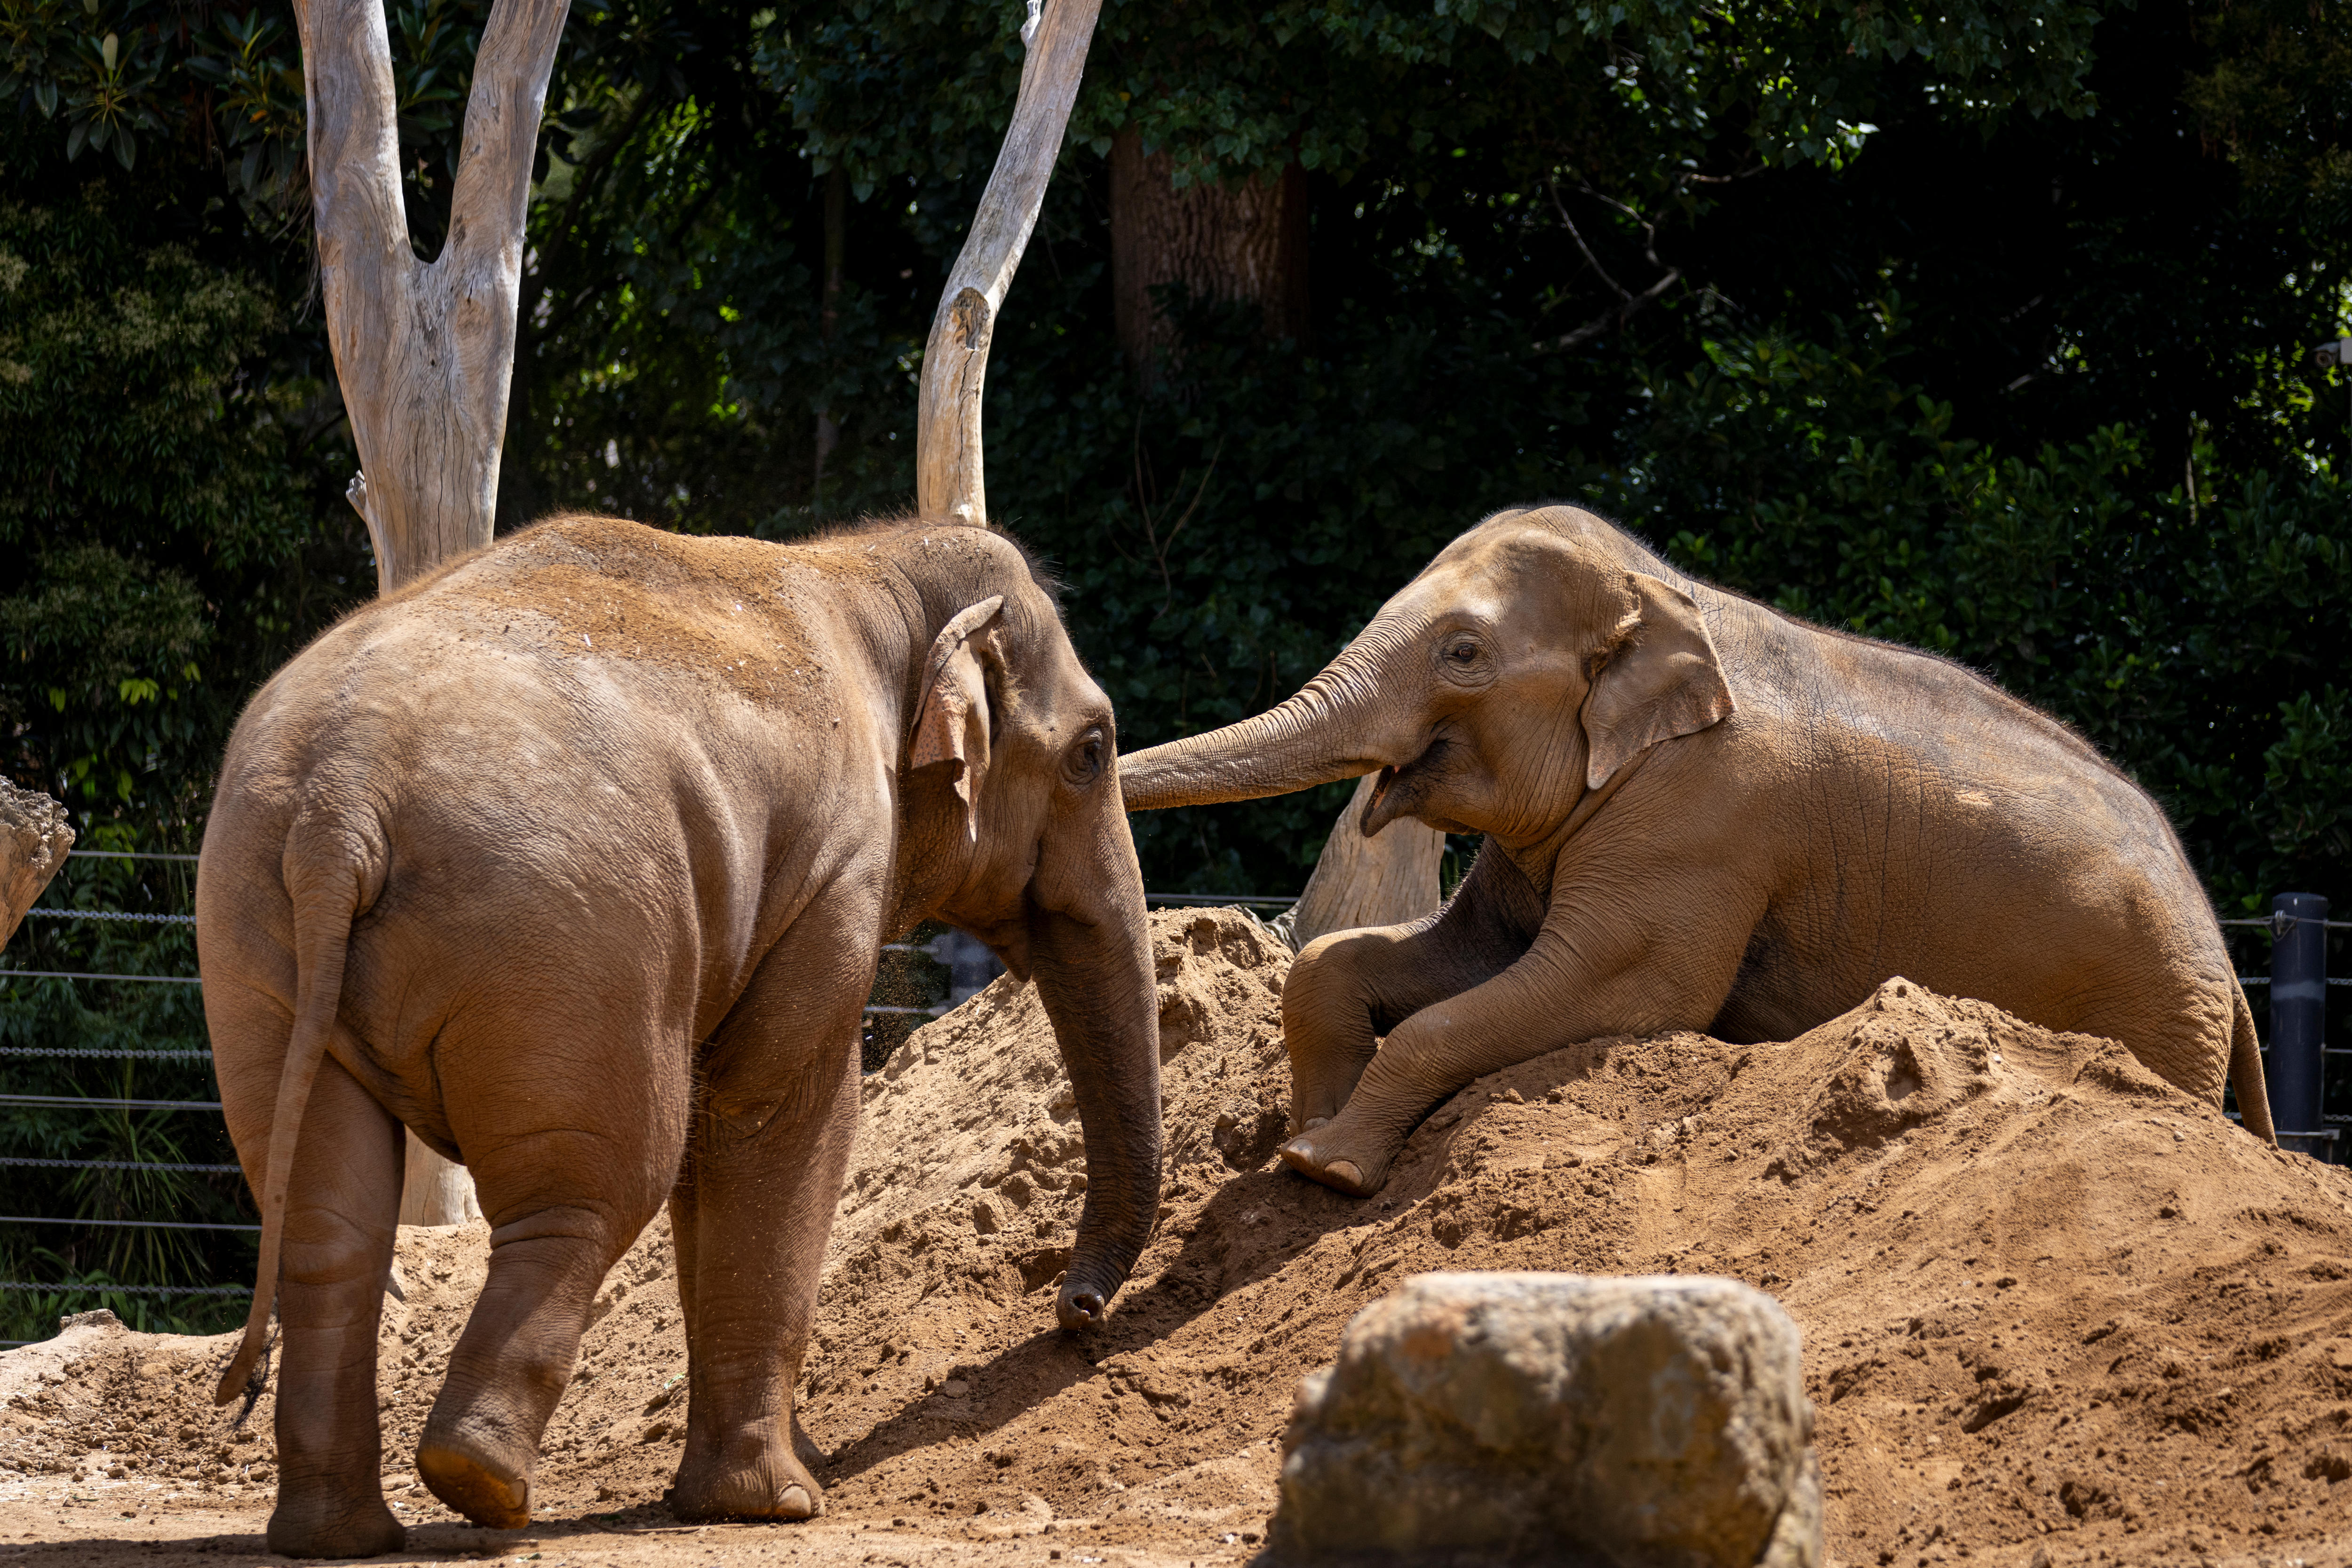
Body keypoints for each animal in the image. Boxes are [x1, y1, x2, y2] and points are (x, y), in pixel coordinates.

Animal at [197, 514, 1161, 1558]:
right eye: (1093, 751)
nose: (1076, 1310)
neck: (871, 567)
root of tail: (341, 802)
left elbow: (715, 1150)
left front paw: (746, 1484)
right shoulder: (836, 868)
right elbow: (773, 1114)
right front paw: (776, 1501)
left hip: (254, 933)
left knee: (331, 1221)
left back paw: (341, 1532)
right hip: (568, 937)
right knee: (596, 1186)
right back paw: (483, 1483)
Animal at [1120, 503, 2274, 1196]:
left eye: (1464, 654)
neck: (1660, 591)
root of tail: (2228, 964)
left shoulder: (1705, 820)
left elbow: (1620, 985)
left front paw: (1328, 1167)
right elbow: (1399, 958)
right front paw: (1297, 1144)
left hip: (2153, 1012)